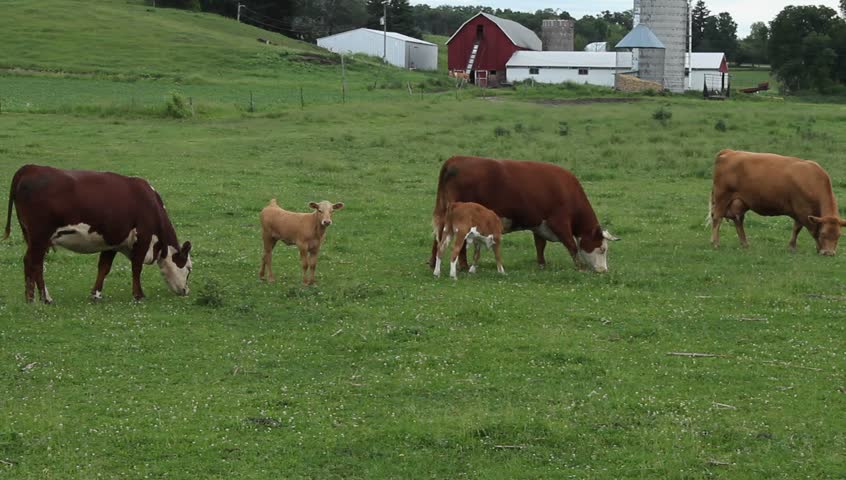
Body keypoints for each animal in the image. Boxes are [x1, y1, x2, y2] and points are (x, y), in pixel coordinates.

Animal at [4, 165, 193, 303]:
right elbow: (136, 267)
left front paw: (96, 294)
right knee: (34, 262)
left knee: (33, 263)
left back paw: (32, 297)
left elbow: (104, 267)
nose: (186, 291)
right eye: (189, 268)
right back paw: (43, 298)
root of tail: (30, 168)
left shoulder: (113, 242)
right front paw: (138, 295)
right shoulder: (143, 238)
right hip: (40, 236)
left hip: (33, 237)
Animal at [430, 156, 619, 273]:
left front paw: (542, 264)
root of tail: (455, 159)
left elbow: (540, 245)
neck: (567, 191)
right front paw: (580, 267)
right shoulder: (559, 222)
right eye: (602, 249)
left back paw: (433, 263)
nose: (603, 270)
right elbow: (572, 245)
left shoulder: (539, 224)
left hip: (445, 216)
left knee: (438, 238)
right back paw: (462, 265)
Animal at [709, 149, 846, 255]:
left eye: (838, 235)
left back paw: (744, 244)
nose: (829, 253)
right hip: (722, 197)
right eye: (823, 234)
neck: (813, 179)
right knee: (717, 218)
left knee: (738, 220)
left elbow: (797, 228)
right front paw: (811, 247)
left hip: (740, 202)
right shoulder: (802, 211)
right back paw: (715, 243)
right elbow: (808, 229)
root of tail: (729, 152)